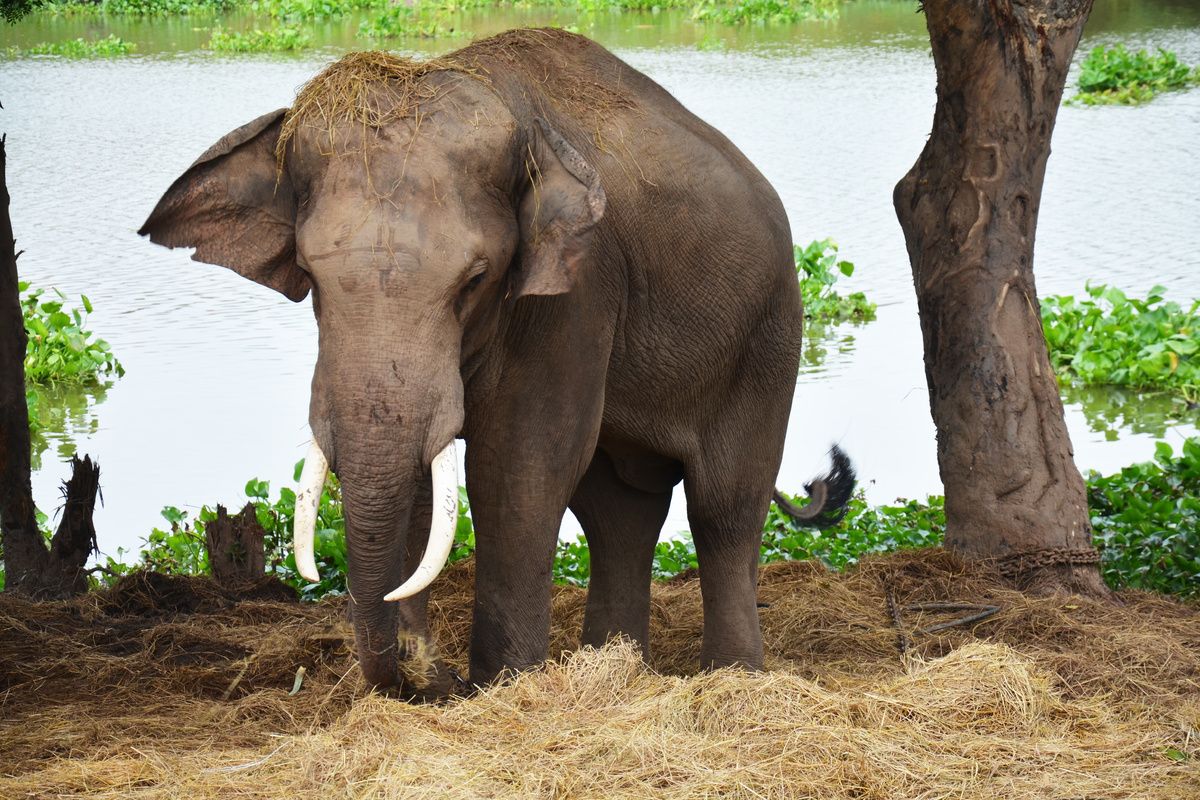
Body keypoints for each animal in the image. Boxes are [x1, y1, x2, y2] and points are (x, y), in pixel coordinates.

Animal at [140, 28, 854, 694]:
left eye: (475, 280)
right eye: (310, 277)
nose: (425, 670)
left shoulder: (579, 286)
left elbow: (518, 465)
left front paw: (501, 684)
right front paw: (438, 677)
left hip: (769, 334)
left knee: (723, 506)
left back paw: (733, 679)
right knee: (619, 509)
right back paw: (615, 670)